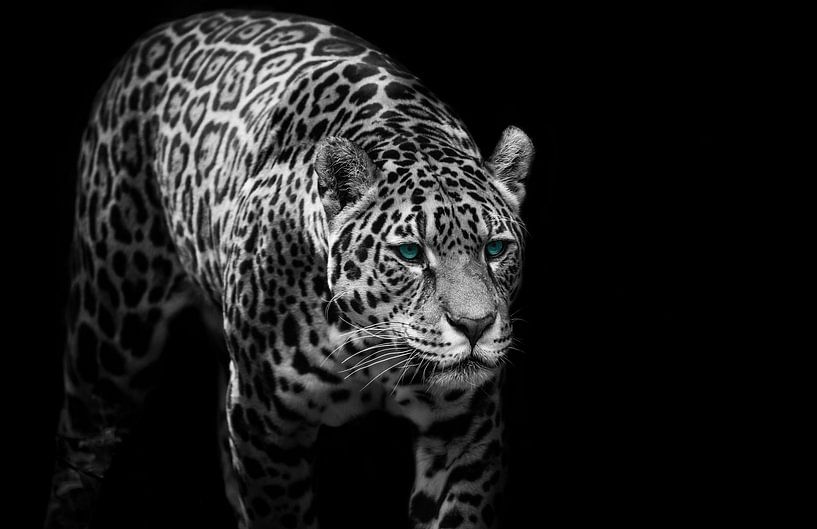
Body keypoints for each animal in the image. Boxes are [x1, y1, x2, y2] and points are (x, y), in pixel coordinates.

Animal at [45, 10, 534, 529]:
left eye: (496, 248)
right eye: (410, 254)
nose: (475, 326)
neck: (370, 344)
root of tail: (152, 38)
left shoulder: (466, 428)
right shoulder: (264, 424)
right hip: (110, 341)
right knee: (80, 454)